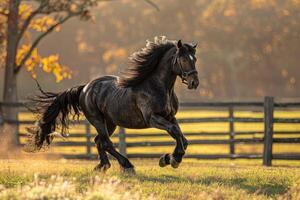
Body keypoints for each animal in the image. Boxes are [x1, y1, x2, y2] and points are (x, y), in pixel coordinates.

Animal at [26, 36, 199, 173]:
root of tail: (85, 88)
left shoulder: (170, 117)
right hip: (97, 120)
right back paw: (127, 165)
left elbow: (182, 138)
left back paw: (103, 166)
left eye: (194, 59)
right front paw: (173, 159)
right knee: (106, 143)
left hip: (110, 123)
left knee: (99, 141)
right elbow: (175, 132)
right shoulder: (153, 119)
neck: (158, 87)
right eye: (184, 59)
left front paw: (168, 158)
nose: (194, 82)